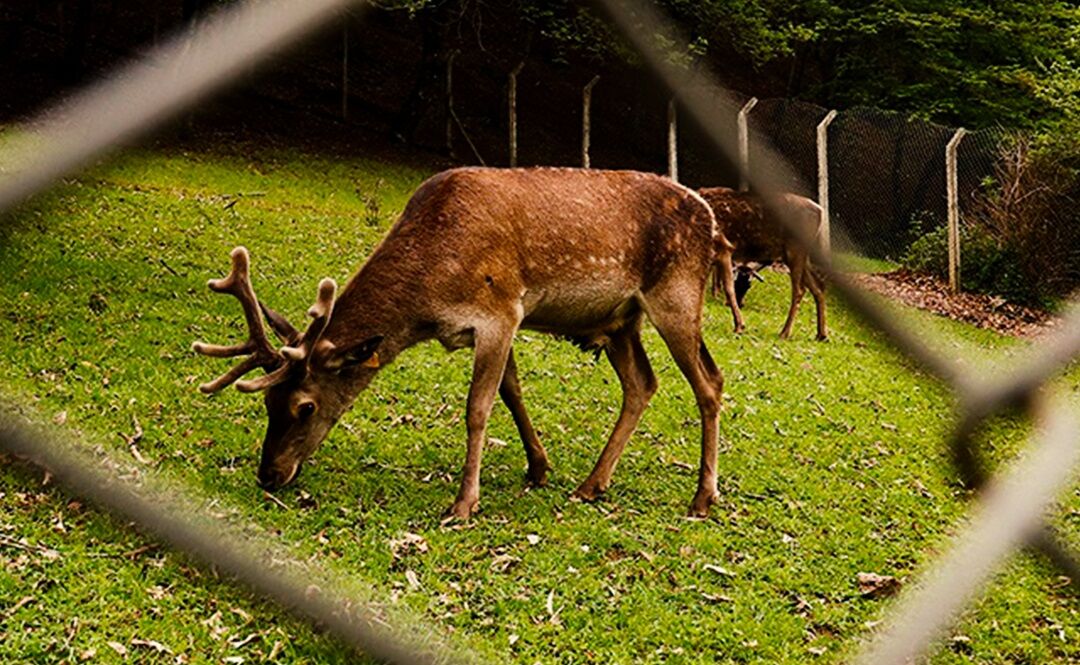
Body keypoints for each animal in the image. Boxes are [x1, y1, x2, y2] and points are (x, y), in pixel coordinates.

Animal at [194, 166, 738, 520]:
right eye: (268, 402)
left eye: (305, 406)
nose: (268, 474)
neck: (429, 294)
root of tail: (714, 222)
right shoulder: (504, 319)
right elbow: (512, 391)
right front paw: (538, 468)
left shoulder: (499, 309)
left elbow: (478, 408)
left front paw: (463, 503)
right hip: (622, 319)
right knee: (642, 383)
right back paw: (591, 485)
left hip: (676, 295)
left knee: (710, 381)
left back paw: (702, 497)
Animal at [699, 190, 825, 341]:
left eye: (747, 286)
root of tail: (820, 211)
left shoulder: (724, 248)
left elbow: (728, 288)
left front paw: (739, 326)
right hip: (799, 257)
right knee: (818, 288)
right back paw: (821, 334)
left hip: (795, 250)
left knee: (799, 290)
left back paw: (784, 333)